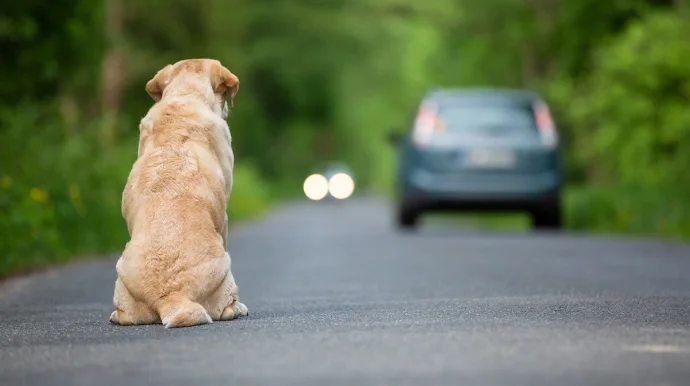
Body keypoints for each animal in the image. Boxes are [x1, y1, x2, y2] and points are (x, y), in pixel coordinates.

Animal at [107, 58, 247, 328]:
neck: (185, 95)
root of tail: (172, 295)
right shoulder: (224, 217)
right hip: (225, 268)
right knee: (226, 307)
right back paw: (238, 308)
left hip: (122, 277)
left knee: (123, 315)